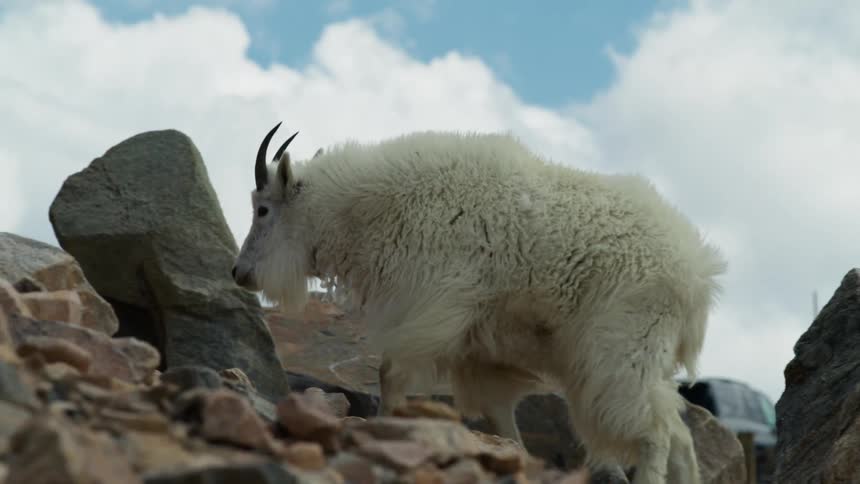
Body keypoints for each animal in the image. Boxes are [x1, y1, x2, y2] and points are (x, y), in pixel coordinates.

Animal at [232, 122, 727, 484]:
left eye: (263, 209)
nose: (239, 273)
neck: (371, 209)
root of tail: (698, 277)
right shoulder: (480, 351)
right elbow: (500, 416)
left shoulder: (433, 306)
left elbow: (391, 374)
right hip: (641, 358)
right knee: (679, 433)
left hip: (621, 350)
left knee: (655, 431)